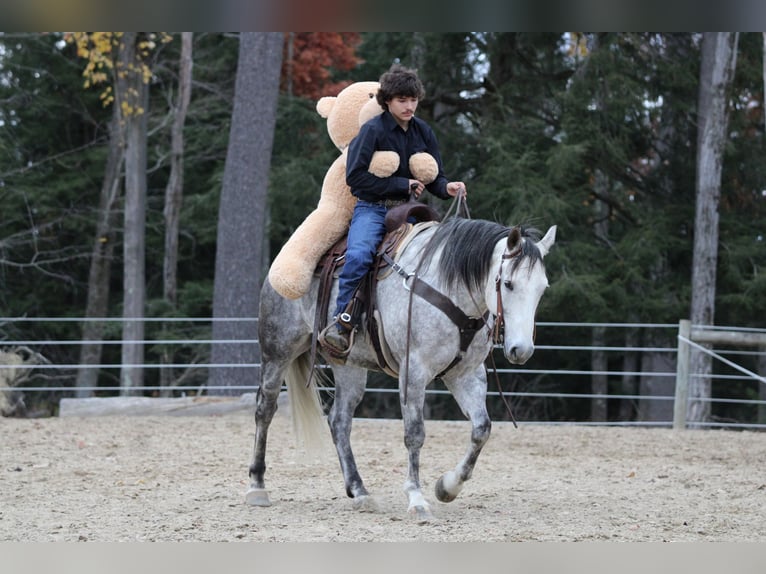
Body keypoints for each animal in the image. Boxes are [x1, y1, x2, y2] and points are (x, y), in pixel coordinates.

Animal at [246, 217, 556, 520]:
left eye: (542, 288)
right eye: (508, 284)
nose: (522, 350)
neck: (450, 289)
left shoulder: (466, 375)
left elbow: (482, 429)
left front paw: (447, 487)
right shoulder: (413, 372)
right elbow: (414, 434)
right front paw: (417, 499)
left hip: (348, 366)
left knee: (339, 421)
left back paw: (359, 491)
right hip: (277, 351)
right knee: (265, 410)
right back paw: (257, 486)